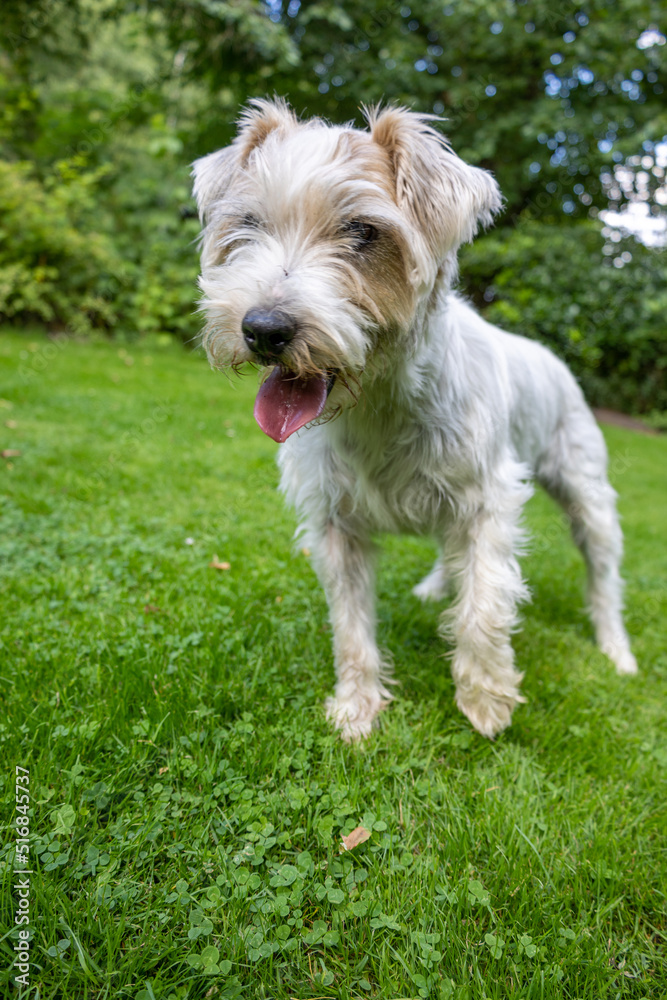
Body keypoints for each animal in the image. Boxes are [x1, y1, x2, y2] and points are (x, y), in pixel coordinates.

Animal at [192, 99, 636, 744]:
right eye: (248, 222)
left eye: (363, 231)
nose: (263, 329)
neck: (378, 404)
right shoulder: (335, 526)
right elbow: (351, 626)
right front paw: (357, 708)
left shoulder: (488, 504)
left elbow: (483, 608)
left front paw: (485, 700)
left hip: (589, 500)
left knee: (603, 580)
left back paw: (616, 651)